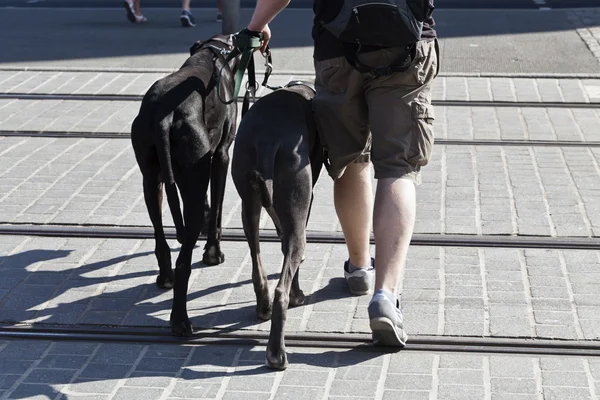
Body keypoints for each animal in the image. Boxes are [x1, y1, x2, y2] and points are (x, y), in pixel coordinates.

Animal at [132, 34, 240, 336]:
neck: (214, 51)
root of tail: (163, 116)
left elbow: (207, 205)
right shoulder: (221, 155)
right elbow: (216, 209)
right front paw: (213, 252)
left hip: (152, 180)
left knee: (160, 238)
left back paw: (165, 276)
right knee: (184, 262)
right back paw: (179, 319)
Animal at [231, 80, 324, 368]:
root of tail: (267, 139)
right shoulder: (307, 201)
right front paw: (298, 295)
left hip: (248, 202)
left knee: (257, 263)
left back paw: (263, 307)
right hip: (296, 199)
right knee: (281, 288)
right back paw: (276, 352)